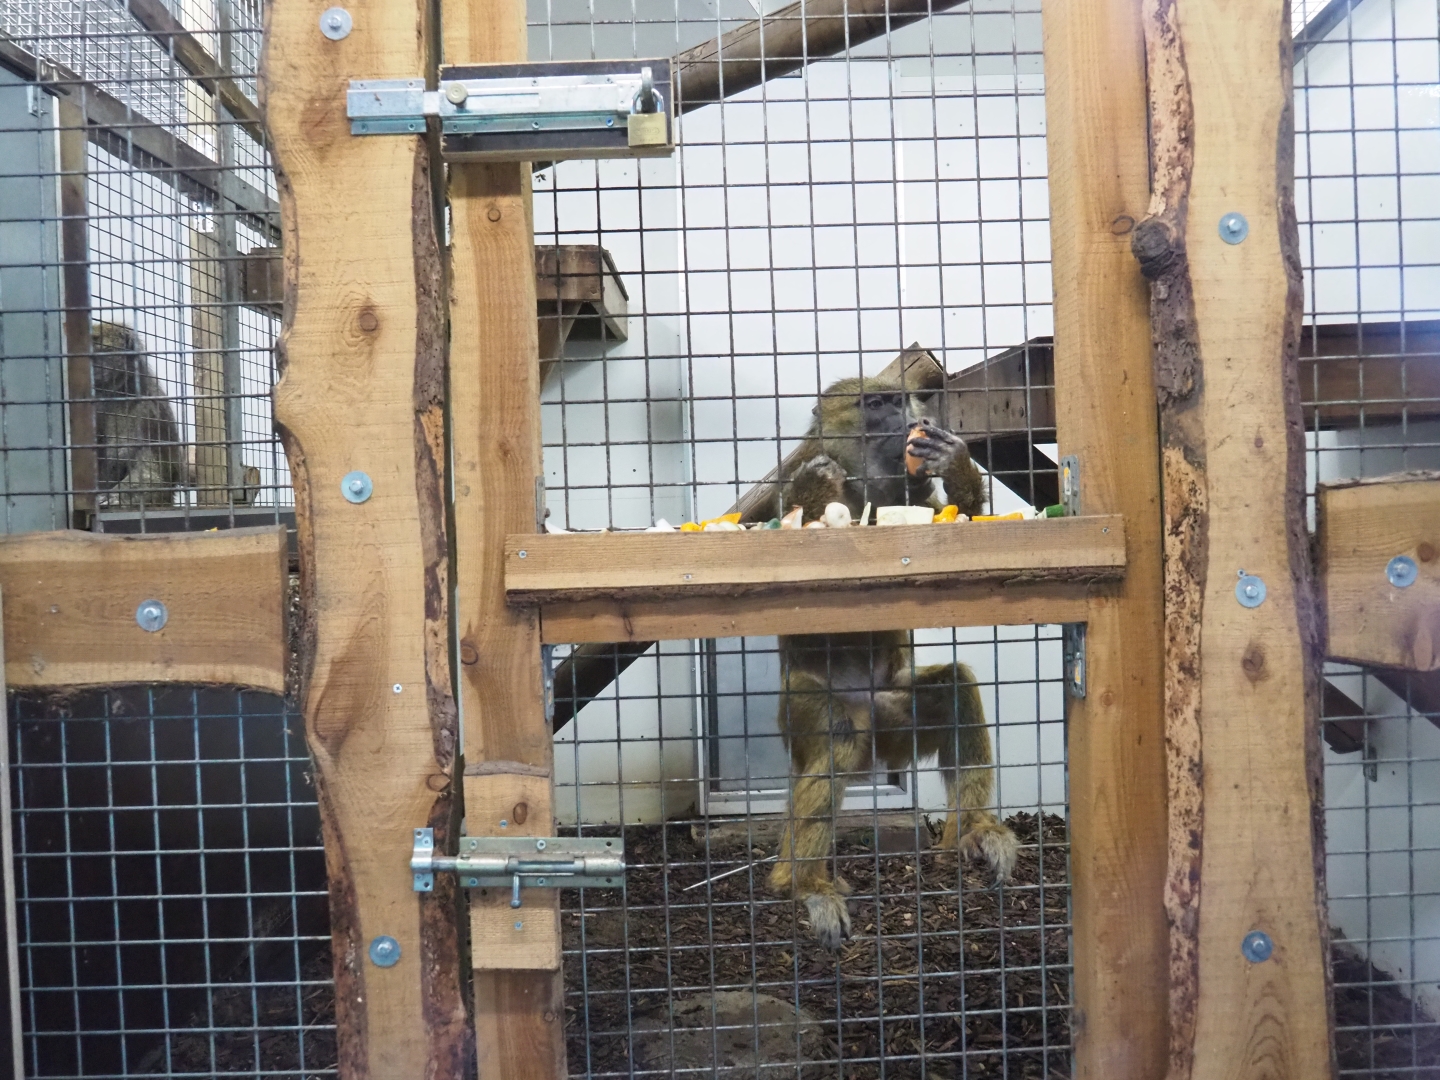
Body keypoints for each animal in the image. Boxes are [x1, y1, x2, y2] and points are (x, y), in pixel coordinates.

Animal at [768, 374, 1019, 950]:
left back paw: (974, 830)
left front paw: (954, 462)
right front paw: (813, 495)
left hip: (895, 716)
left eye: (900, 400)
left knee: (954, 688)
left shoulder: (915, 495)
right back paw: (801, 883)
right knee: (836, 740)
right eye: (875, 404)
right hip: (802, 711)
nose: (909, 421)